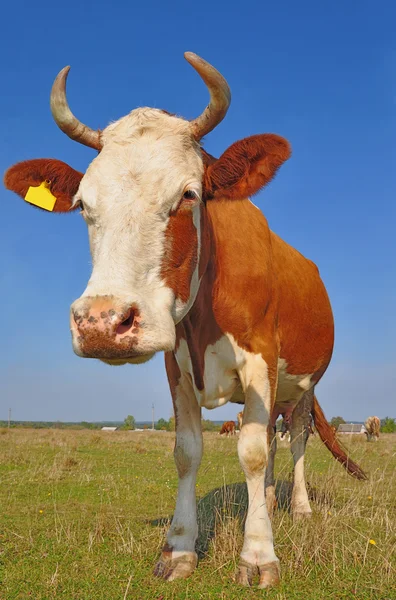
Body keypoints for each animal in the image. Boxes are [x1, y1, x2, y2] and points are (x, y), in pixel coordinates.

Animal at [3, 51, 368, 592]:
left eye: (189, 194)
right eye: (83, 204)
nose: (102, 322)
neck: (202, 315)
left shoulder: (262, 358)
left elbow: (252, 452)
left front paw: (258, 555)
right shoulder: (175, 363)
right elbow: (188, 451)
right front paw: (179, 548)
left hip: (303, 385)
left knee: (297, 438)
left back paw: (298, 508)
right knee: (274, 439)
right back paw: (270, 500)